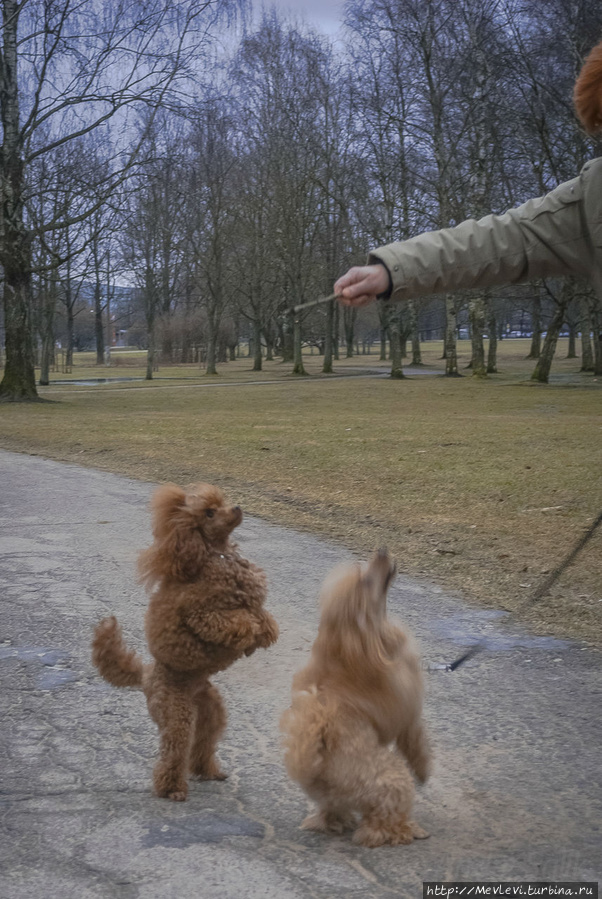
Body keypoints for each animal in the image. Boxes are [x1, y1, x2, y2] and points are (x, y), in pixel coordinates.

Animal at [90, 482, 278, 804]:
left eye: (221, 502)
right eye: (209, 513)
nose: (237, 507)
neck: (218, 556)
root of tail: (146, 677)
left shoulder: (251, 599)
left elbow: (262, 615)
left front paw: (264, 634)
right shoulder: (202, 615)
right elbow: (238, 621)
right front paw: (249, 636)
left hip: (210, 711)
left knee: (203, 742)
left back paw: (208, 770)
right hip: (175, 714)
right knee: (174, 751)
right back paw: (172, 789)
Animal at [278, 548, 428, 852]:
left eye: (363, 571)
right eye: (366, 582)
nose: (381, 551)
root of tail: (318, 769)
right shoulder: (405, 709)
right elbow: (416, 739)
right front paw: (424, 768)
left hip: (332, 798)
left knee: (331, 814)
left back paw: (336, 821)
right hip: (392, 780)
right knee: (378, 827)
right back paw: (407, 830)